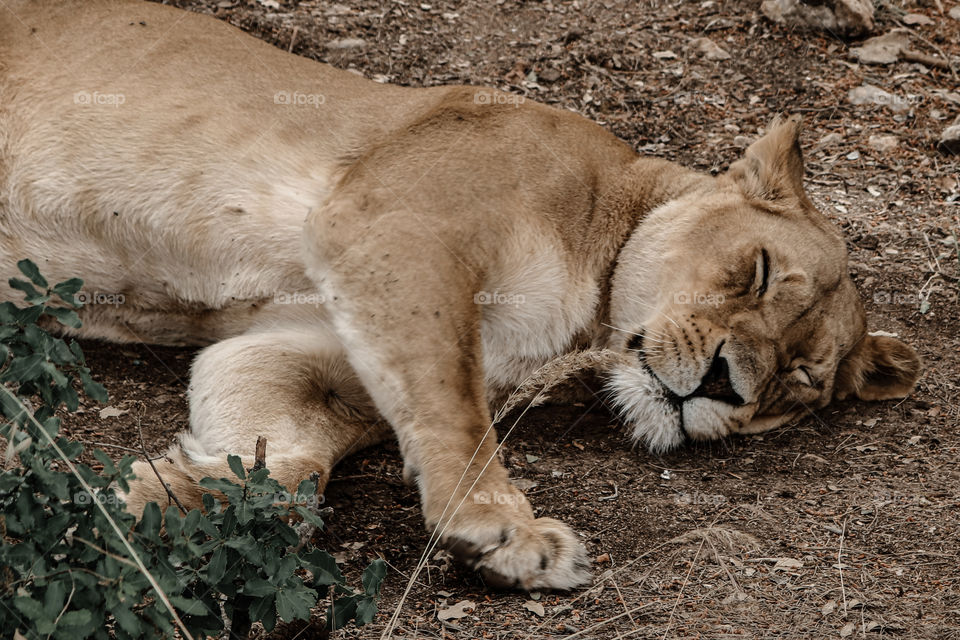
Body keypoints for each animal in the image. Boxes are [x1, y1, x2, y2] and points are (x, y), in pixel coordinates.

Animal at [0, 0, 920, 590]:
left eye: (798, 382)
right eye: (755, 270)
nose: (728, 385)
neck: (584, 324)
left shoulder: (301, 342)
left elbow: (288, 469)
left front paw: (143, 499)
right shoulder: (395, 227)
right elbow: (455, 409)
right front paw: (506, 531)